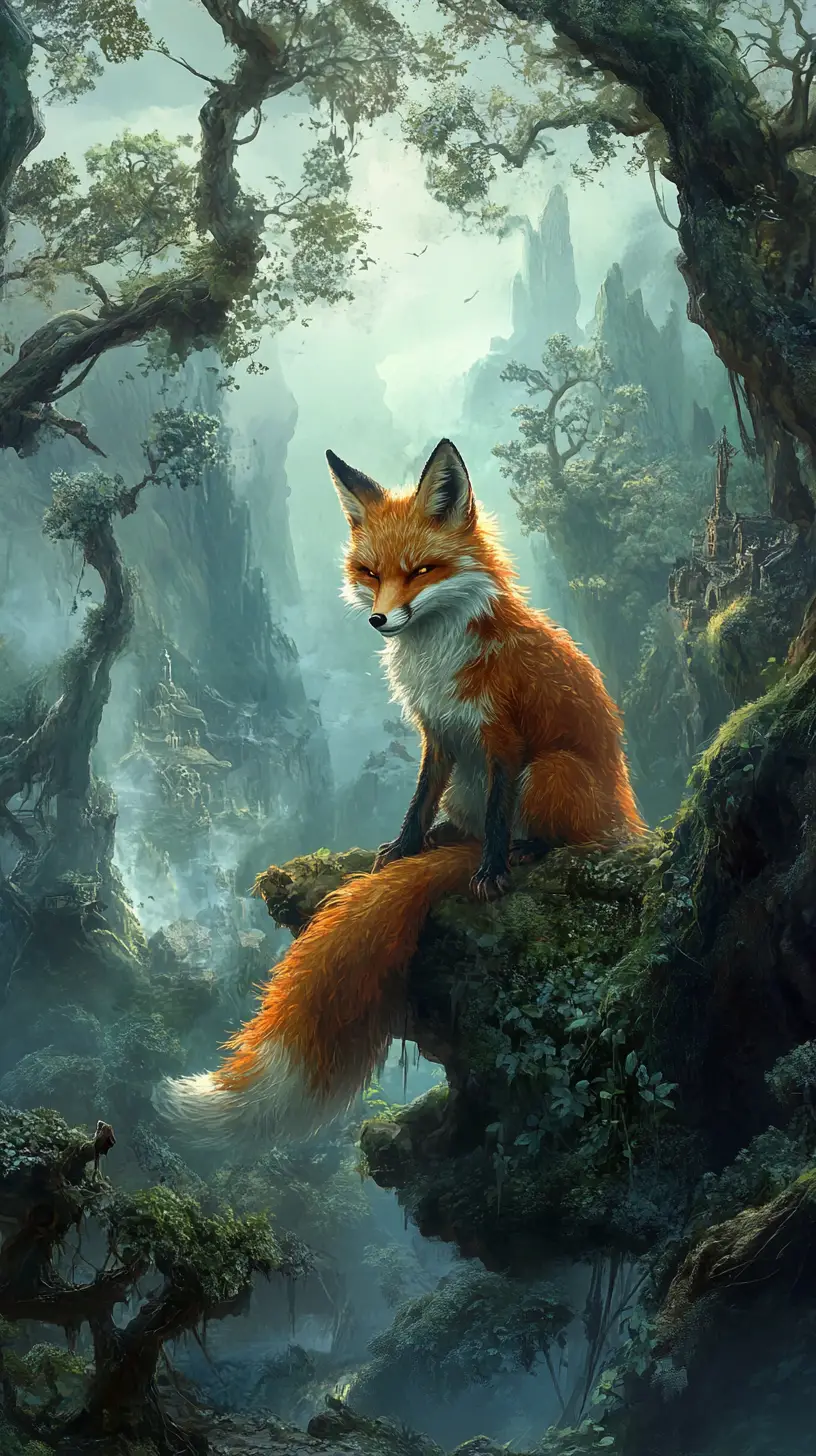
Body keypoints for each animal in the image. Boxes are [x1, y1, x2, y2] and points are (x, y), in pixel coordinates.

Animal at [155, 439, 645, 1143]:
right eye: (371, 571)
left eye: (420, 571)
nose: (379, 618)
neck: (436, 659)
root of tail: (629, 820)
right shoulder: (437, 734)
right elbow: (416, 801)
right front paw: (402, 849)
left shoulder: (501, 737)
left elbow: (500, 814)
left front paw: (492, 872)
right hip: (474, 783)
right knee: (463, 820)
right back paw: (449, 841)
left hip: (552, 772)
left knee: (555, 836)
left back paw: (524, 854)